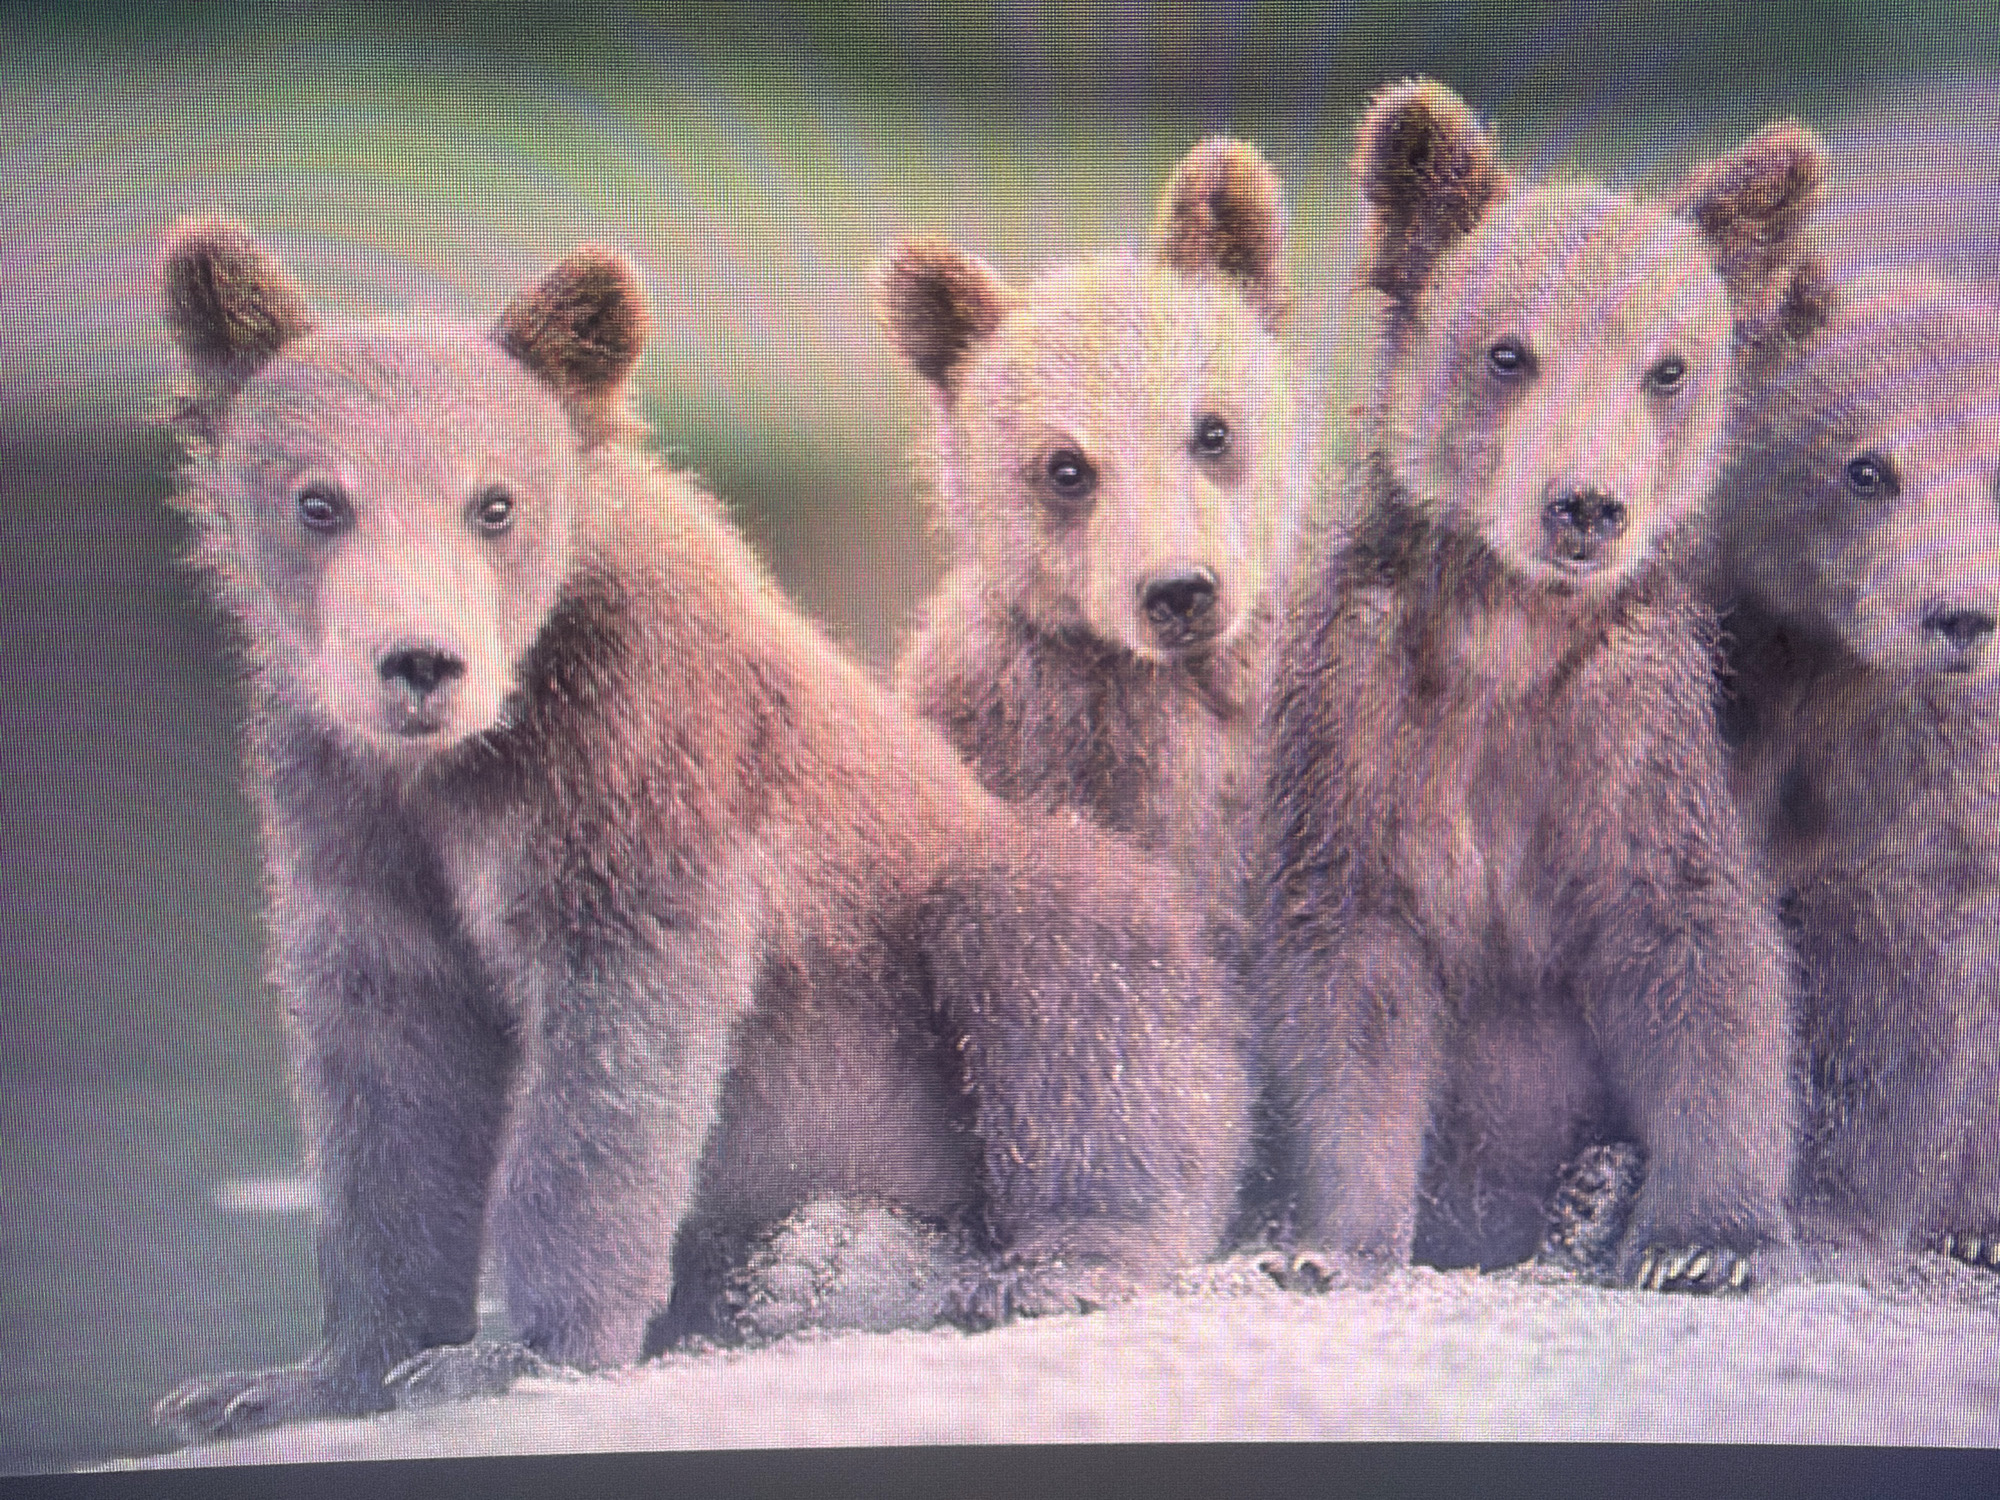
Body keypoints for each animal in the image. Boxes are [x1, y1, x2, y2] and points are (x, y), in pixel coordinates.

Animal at [149, 220, 1251, 1441]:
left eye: (494, 502)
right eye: (319, 499)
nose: (421, 661)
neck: (477, 751)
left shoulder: (639, 752)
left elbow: (617, 1049)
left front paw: (518, 1347)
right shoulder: (347, 807)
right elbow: (387, 1074)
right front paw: (293, 1376)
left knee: (1059, 942)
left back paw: (1035, 1255)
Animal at [1253, 79, 1816, 1292]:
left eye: (1667, 366)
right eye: (1508, 351)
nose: (1586, 505)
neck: (1507, 639)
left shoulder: (1626, 732)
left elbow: (1701, 955)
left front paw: (1702, 1240)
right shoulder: (1366, 722)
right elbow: (1355, 982)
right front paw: (1332, 1240)